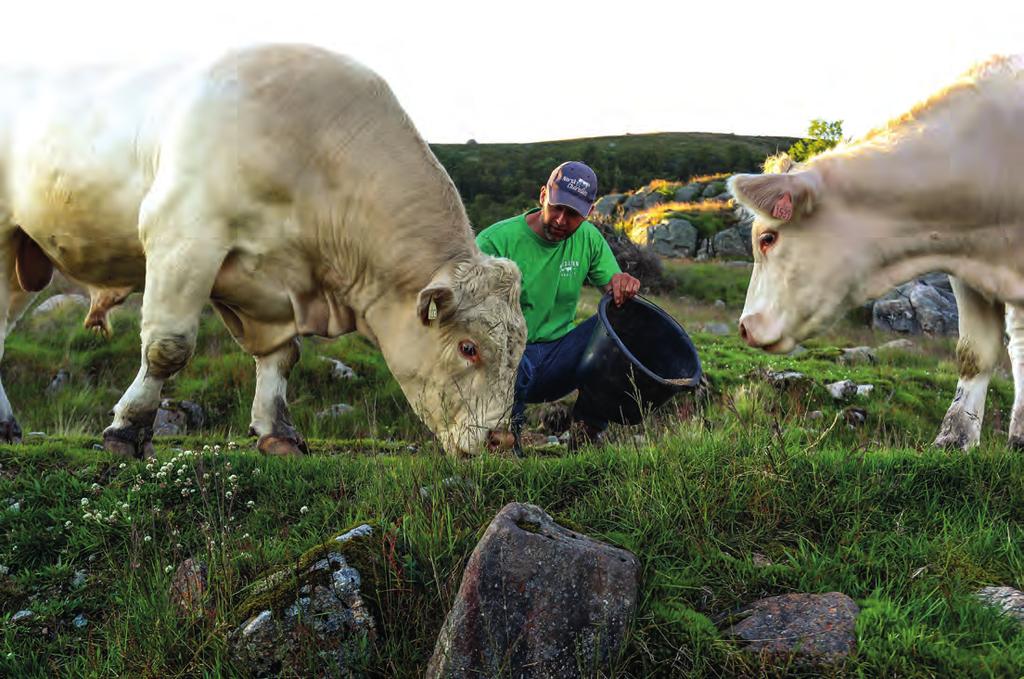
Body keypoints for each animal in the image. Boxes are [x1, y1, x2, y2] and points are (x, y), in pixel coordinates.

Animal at [0, 45, 528, 458]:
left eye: (522, 349)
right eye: (468, 347)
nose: (501, 441)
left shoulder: (270, 281)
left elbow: (281, 356)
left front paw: (278, 432)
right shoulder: (183, 233)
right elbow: (168, 347)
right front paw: (127, 429)